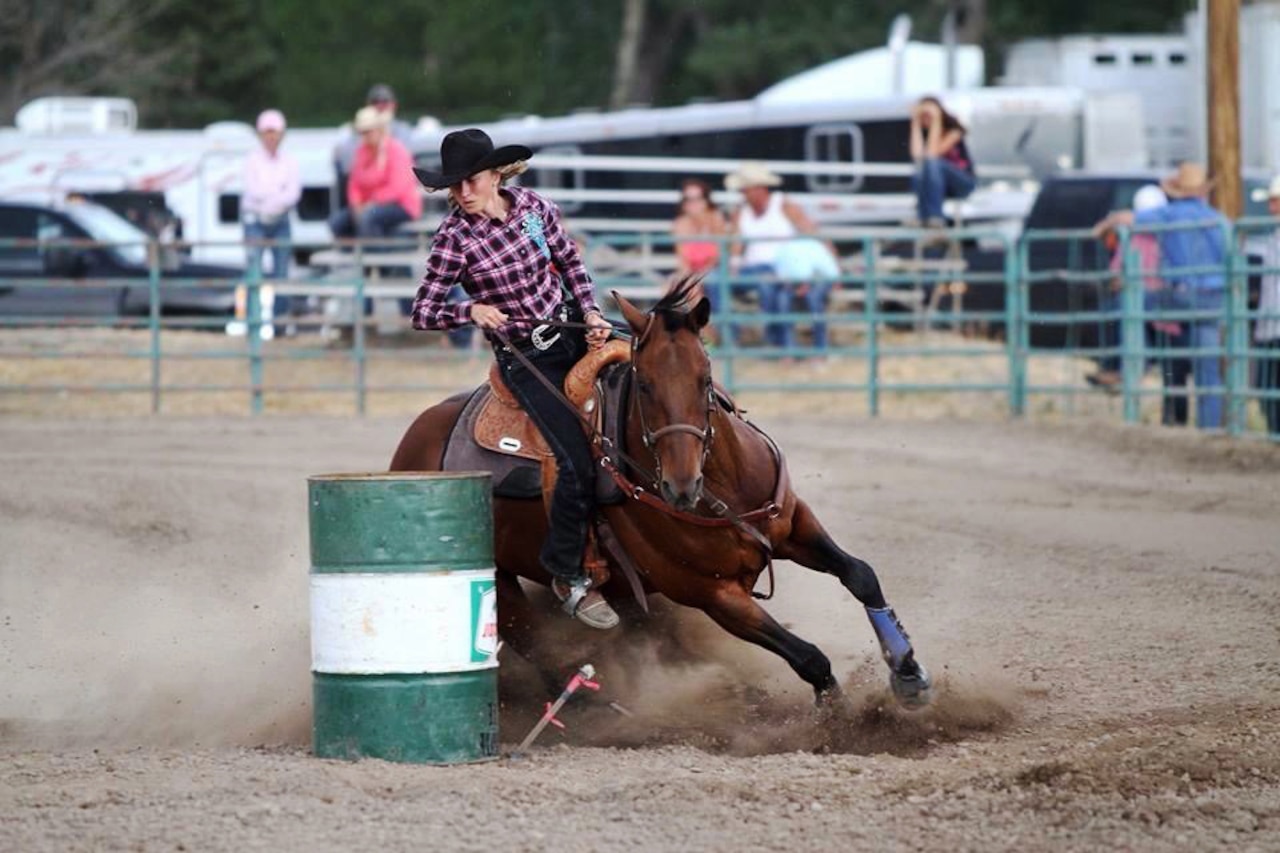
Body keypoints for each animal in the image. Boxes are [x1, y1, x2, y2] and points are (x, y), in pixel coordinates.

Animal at [386, 279, 931, 701]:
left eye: (705, 377)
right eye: (644, 385)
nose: (680, 486)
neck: (721, 489)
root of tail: (413, 441)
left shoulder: (794, 524)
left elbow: (860, 575)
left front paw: (908, 672)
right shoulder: (713, 595)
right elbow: (810, 658)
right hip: (500, 579)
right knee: (537, 645)